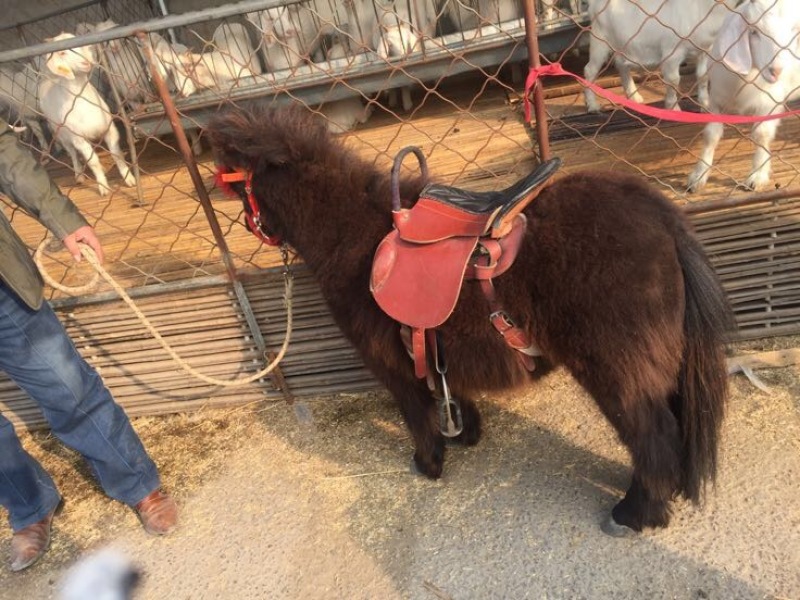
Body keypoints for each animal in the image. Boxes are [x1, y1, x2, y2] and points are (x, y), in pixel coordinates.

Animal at [206, 103, 733, 535]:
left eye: (235, 184)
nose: (257, 228)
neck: (351, 236)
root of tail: (661, 216)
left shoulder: (391, 366)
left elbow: (417, 413)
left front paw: (429, 463)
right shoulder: (434, 348)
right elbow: (451, 391)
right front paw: (466, 434)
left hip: (617, 372)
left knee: (654, 436)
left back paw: (634, 514)